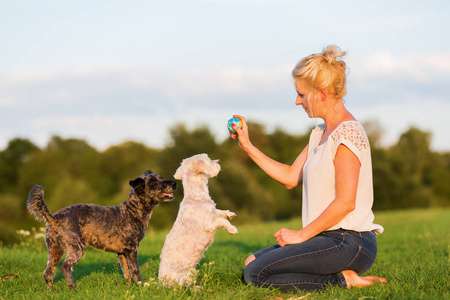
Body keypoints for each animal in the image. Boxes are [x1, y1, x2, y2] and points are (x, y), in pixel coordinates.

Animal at [25, 170, 178, 290]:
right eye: (154, 183)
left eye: (160, 178)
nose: (174, 183)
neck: (133, 210)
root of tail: (53, 218)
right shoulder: (132, 249)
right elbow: (135, 269)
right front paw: (140, 286)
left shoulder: (122, 253)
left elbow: (126, 271)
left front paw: (131, 286)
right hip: (76, 248)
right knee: (65, 267)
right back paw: (73, 287)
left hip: (54, 250)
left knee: (48, 272)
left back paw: (50, 291)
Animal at [159, 154, 239, 288]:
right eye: (209, 160)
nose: (217, 162)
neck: (196, 196)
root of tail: (161, 283)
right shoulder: (211, 223)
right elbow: (223, 222)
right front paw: (232, 229)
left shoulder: (213, 212)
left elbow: (219, 211)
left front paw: (229, 214)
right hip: (183, 276)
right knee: (184, 287)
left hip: (191, 272)